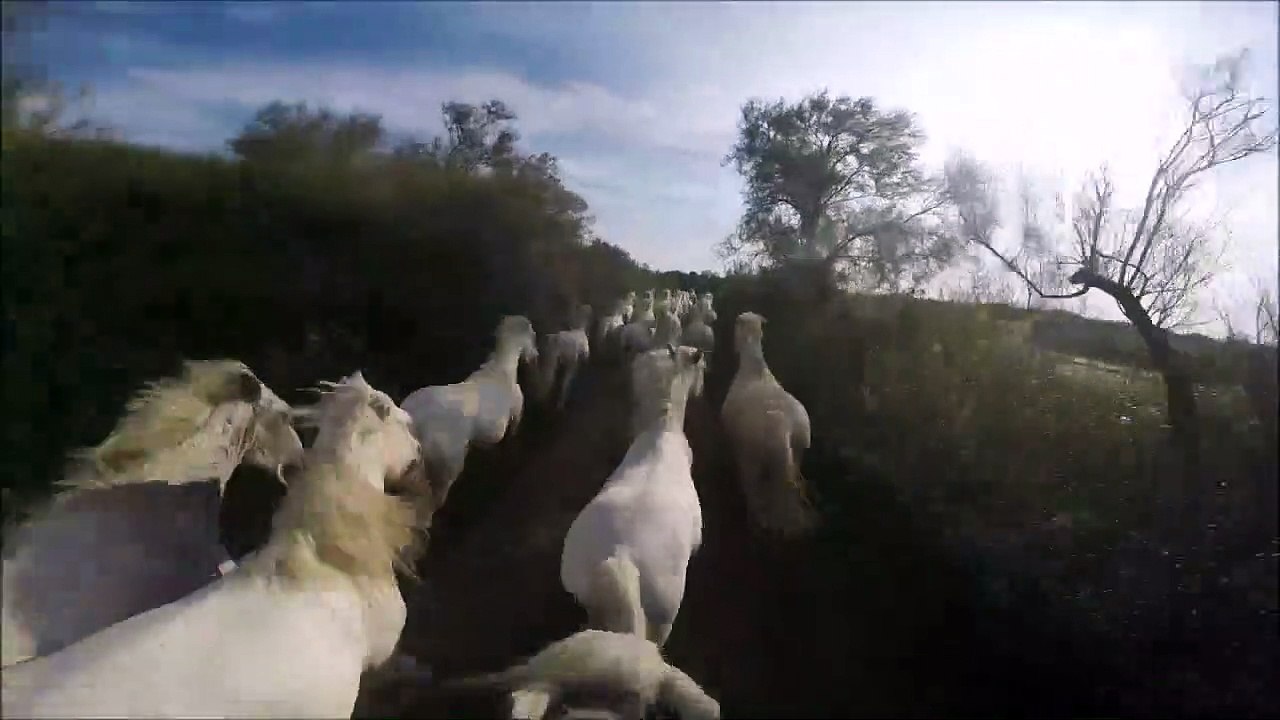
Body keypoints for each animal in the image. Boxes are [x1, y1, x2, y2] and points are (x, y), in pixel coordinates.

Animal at [400, 315, 539, 521]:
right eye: (532, 335)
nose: (535, 356)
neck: (502, 370)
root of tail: (412, 416)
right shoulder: (515, 416)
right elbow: (512, 436)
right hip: (448, 463)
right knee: (435, 499)